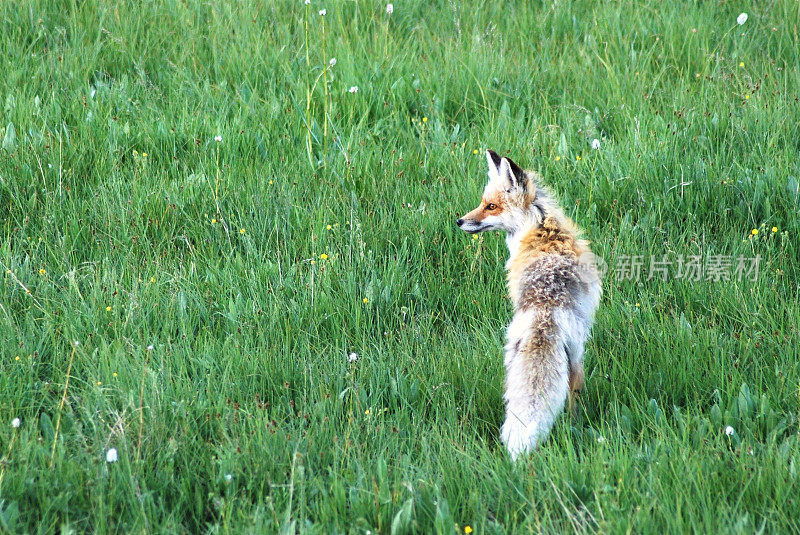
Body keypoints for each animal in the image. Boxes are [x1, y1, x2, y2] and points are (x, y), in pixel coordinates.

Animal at [456, 151, 600, 460]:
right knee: (573, 390)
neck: (541, 226)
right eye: (483, 202)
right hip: (574, 349)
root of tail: (546, 304)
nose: (459, 221)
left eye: (491, 206)